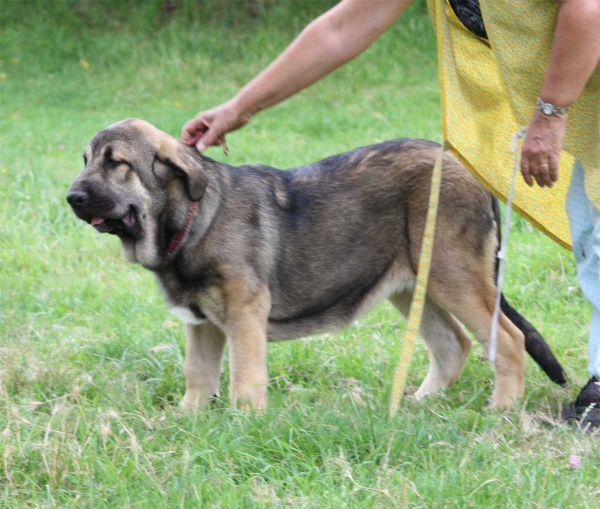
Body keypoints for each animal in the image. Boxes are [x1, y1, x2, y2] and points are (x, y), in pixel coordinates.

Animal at [67, 118, 568, 408]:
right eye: (86, 160)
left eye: (117, 163)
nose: (71, 198)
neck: (191, 218)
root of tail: (472, 172)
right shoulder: (202, 324)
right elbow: (198, 378)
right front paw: (189, 425)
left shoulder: (244, 316)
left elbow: (244, 381)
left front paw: (243, 426)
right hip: (413, 285)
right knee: (453, 345)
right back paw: (418, 405)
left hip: (454, 275)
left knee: (508, 340)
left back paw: (501, 412)